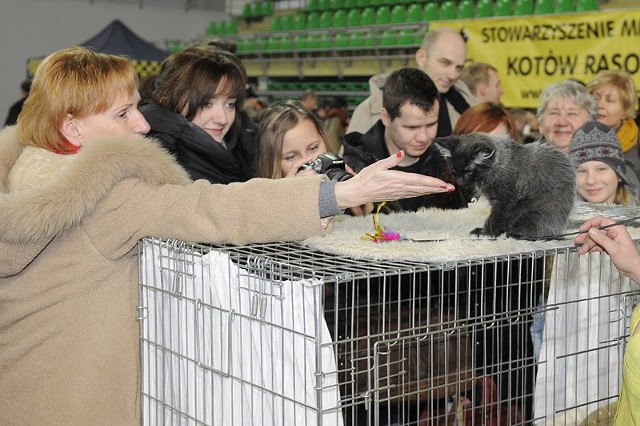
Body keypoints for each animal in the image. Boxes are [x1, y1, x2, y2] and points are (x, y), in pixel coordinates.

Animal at [436, 133, 576, 240]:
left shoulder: (506, 201)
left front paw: (486, 233)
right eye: (454, 171)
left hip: (532, 215)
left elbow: (495, 219)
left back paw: (515, 234)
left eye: (469, 172)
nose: (460, 182)